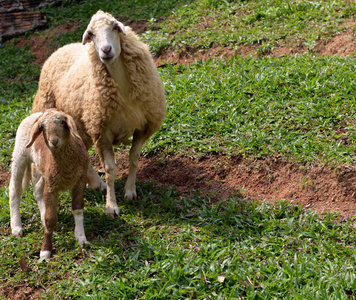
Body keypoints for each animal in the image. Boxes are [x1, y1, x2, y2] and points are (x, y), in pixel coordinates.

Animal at [8, 109, 89, 258]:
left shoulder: (80, 179)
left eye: (62, 122)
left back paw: (41, 213)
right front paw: (45, 250)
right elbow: (50, 219)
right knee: (14, 190)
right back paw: (16, 227)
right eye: (42, 127)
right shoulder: (52, 186)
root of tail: (35, 114)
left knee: (37, 188)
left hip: (42, 170)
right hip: (19, 156)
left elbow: (77, 208)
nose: (54, 141)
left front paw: (81, 238)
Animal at [32, 9, 167, 216]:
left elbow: (134, 158)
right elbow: (110, 169)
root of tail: (60, 48)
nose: (105, 50)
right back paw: (100, 185)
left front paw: (130, 191)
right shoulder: (101, 131)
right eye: (91, 34)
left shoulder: (143, 127)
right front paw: (111, 206)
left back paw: (98, 185)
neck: (122, 88)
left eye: (114, 27)